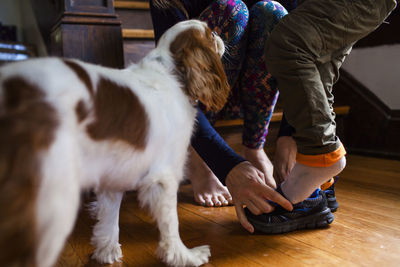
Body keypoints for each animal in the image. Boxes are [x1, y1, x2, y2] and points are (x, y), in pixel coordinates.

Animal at [0, 19, 228, 266]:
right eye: (210, 34)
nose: (219, 34)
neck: (170, 71)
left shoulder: (115, 173)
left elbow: (109, 218)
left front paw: (106, 251)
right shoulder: (164, 176)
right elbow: (171, 223)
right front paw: (184, 256)